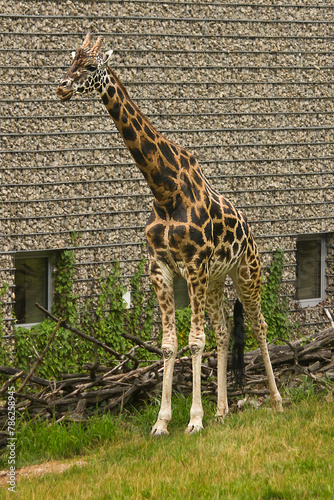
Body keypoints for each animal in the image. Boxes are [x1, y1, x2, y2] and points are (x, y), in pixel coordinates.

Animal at [56, 34, 282, 434]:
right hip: (215, 280)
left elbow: (194, 341)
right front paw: (163, 422)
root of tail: (251, 232)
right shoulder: (160, 267)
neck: (165, 189)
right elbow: (168, 344)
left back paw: (276, 400)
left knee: (259, 325)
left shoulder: (193, 266)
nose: (62, 87)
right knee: (224, 329)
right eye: (71, 60)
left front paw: (194, 420)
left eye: (92, 66)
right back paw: (222, 411)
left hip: (246, 273)